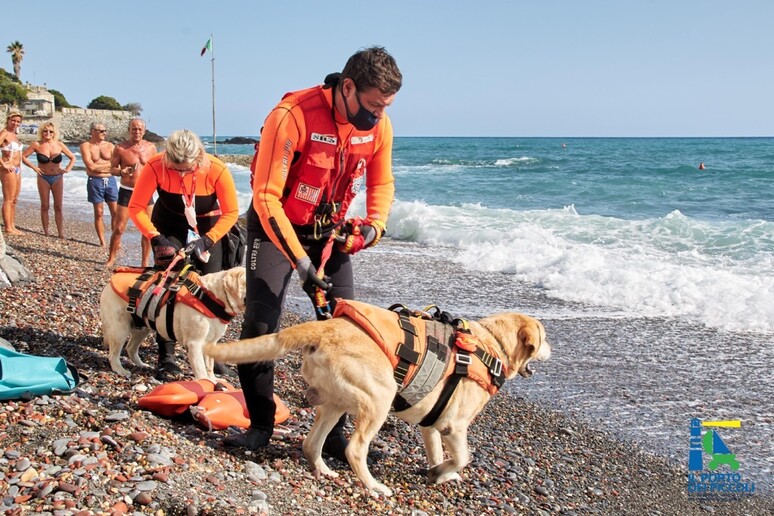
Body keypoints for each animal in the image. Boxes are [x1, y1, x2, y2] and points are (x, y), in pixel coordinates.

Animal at [203, 306, 548, 496]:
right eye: (544, 336)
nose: (552, 349)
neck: (493, 345)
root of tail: (326, 326)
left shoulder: (432, 426)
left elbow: (437, 453)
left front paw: (440, 473)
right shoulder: (454, 425)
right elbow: (463, 456)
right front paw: (443, 472)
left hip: (335, 402)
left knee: (311, 444)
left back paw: (324, 470)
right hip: (380, 397)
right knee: (355, 449)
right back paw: (373, 486)